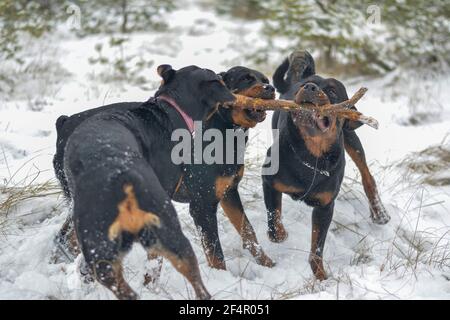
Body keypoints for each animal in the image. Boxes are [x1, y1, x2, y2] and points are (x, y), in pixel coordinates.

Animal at [174, 65, 276, 270]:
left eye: (265, 80)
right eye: (246, 78)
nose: (270, 88)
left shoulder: (229, 192)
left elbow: (247, 230)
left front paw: (265, 262)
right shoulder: (202, 206)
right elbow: (216, 254)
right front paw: (221, 275)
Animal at [264, 50, 390, 280]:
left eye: (332, 90)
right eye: (306, 85)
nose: (309, 87)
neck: (311, 156)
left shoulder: (325, 206)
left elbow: (317, 246)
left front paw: (321, 276)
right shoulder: (269, 181)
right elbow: (273, 220)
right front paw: (282, 234)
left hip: (350, 136)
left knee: (367, 175)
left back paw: (379, 212)